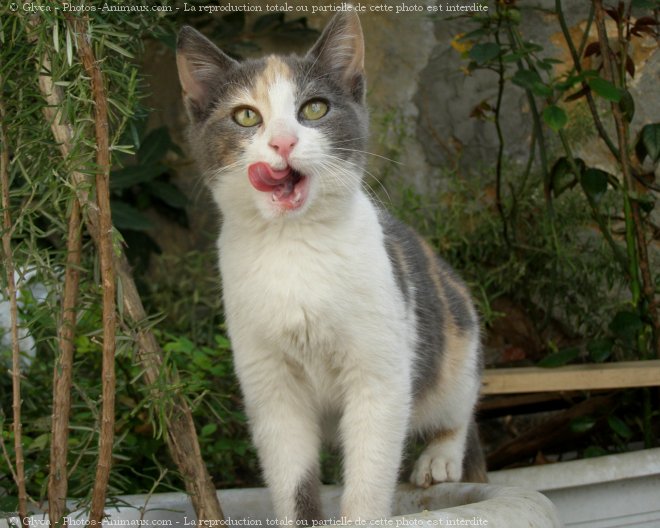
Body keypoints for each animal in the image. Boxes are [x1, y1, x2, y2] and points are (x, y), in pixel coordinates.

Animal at [175, 10, 484, 520]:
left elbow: (370, 474)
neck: (294, 246)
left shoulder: (380, 376)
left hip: (456, 336)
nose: (282, 143)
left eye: (315, 109)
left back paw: (440, 457)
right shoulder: (270, 388)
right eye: (246, 116)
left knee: (459, 403)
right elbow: (294, 480)